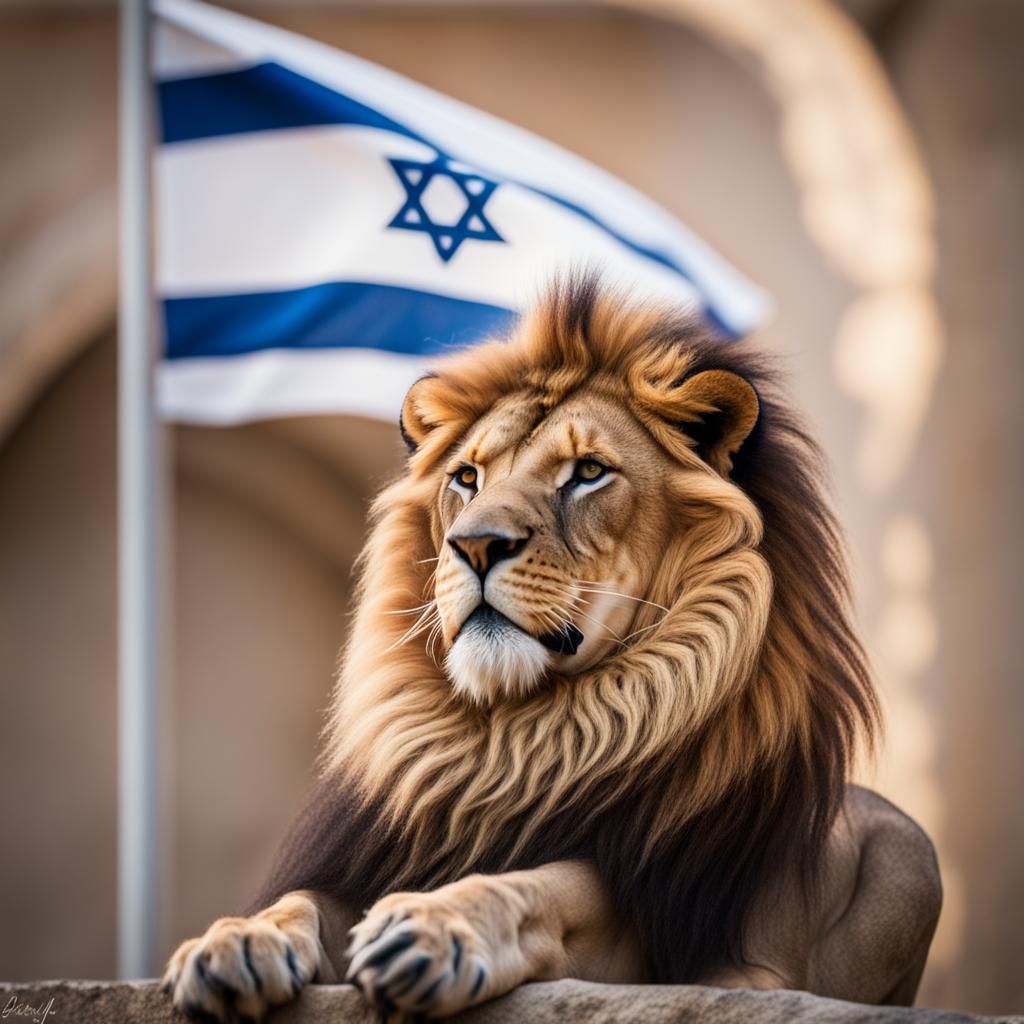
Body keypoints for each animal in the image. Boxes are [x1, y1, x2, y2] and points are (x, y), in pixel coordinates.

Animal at [163, 276, 941, 1020]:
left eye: (588, 472)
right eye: (466, 477)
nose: (475, 544)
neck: (508, 740)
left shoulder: (669, 927)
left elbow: (545, 886)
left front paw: (434, 930)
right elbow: (300, 901)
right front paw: (233, 942)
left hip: (914, 858)